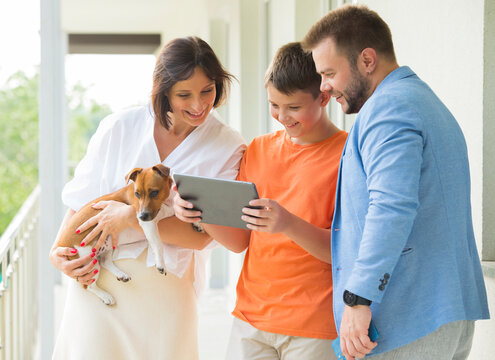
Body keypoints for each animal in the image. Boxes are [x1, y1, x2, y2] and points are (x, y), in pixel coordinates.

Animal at [57, 165, 174, 306]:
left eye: (154, 192)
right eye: (137, 194)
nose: (141, 216)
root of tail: (60, 244)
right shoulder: (148, 223)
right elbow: (158, 243)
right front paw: (160, 264)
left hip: (107, 244)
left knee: (105, 262)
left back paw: (121, 274)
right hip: (89, 264)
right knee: (89, 286)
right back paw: (105, 296)